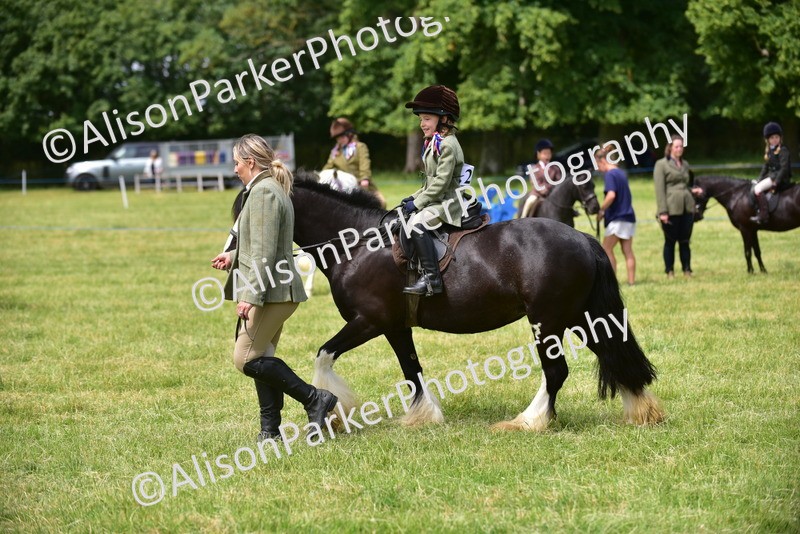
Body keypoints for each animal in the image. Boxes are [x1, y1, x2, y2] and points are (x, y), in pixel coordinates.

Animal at [289, 179, 664, 431]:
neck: (358, 245)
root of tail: (584, 240)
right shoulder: (396, 326)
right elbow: (412, 371)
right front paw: (425, 416)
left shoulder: (369, 321)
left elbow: (324, 356)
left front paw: (332, 414)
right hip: (580, 318)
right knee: (614, 355)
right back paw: (641, 410)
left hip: (548, 321)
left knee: (556, 371)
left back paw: (529, 420)